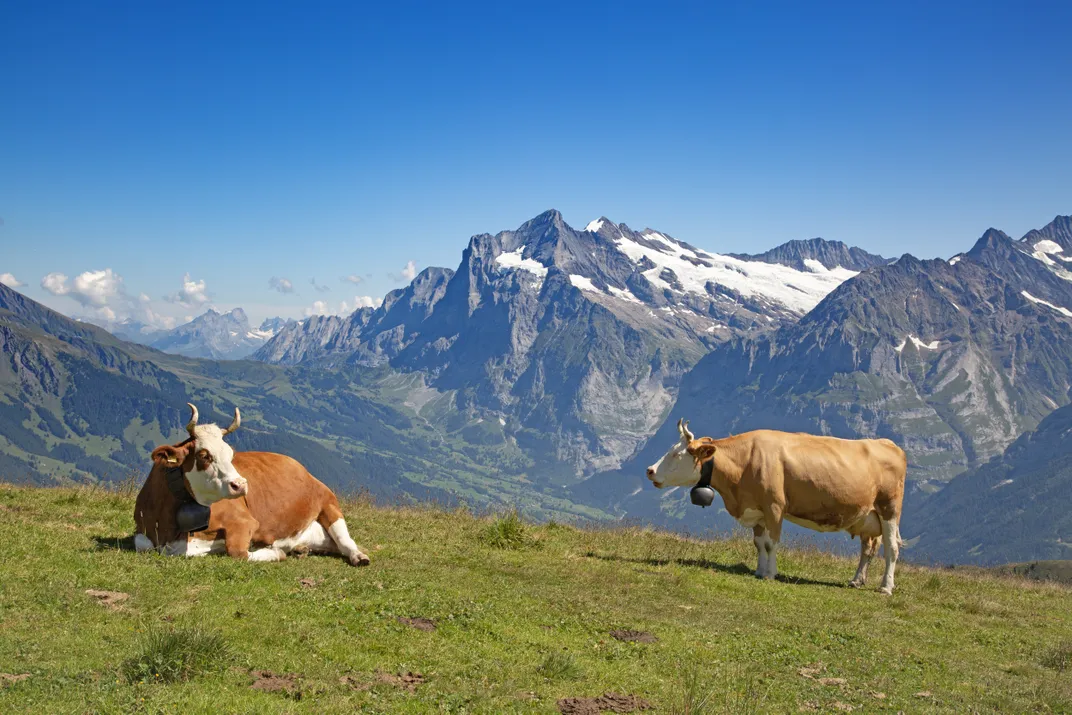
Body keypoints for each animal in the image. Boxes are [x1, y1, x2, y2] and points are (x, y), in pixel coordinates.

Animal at [133, 403, 371, 566]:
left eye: (230, 455)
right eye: (204, 455)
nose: (240, 485)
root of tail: (301, 468)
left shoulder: (243, 521)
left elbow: (238, 552)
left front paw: (274, 553)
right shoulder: (143, 530)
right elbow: (143, 545)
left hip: (329, 502)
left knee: (345, 541)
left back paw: (359, 556)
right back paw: (301, 549)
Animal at [646, 420, 906, 594]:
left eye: (676, 454)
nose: (649, 470)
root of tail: (889, 445)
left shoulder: (774, 507)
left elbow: (771, 543)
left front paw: (770, 574)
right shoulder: (757, 510)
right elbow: (759, 543)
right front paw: (759, 571)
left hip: (889, 509)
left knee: (892, 548)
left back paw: (886, 587)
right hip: (867, 517)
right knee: (868, 549)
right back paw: (856, 580)